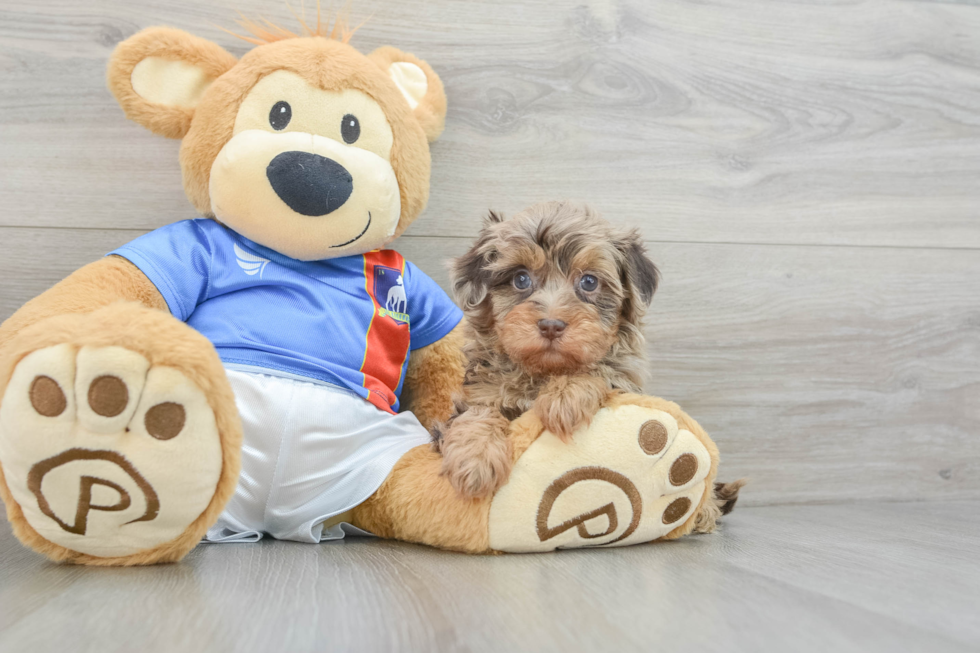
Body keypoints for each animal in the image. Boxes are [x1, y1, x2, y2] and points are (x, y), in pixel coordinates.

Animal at [434, 204, 660, 500]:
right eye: (521, 279)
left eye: (589, 282)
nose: (551, 325)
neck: (543, 372)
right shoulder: (478, 395)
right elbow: (476, 413)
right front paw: (475, 460)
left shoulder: (626, 384)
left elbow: (597, 370)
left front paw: (564, 397)